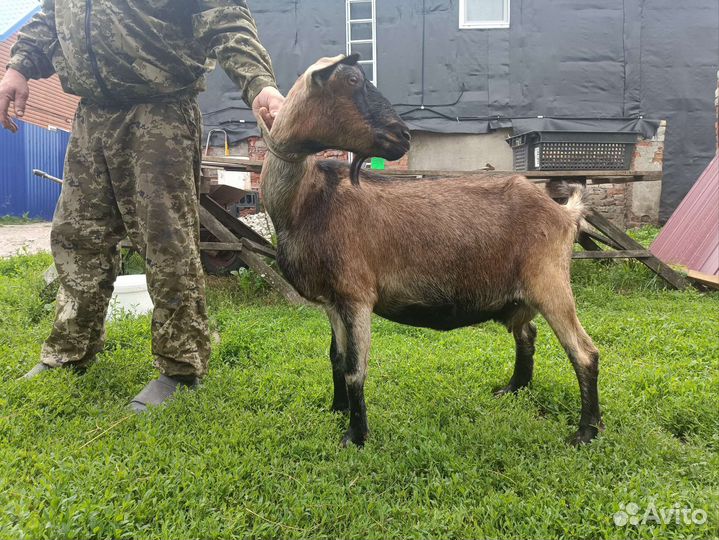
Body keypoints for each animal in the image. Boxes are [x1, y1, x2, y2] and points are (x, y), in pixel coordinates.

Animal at [257, 54, 602, 447]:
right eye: (352, 79)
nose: (403, 135)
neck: (308, 199)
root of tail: (563, 212)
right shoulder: (332, 300)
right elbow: (337, 359)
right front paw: (337, 410)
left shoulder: (356, 295)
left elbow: (356, 369)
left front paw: (355, 436)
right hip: (521, 290)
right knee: (527, 335)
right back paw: (514, 388)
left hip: (550, 281)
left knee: (584, 353)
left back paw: (586, 430)